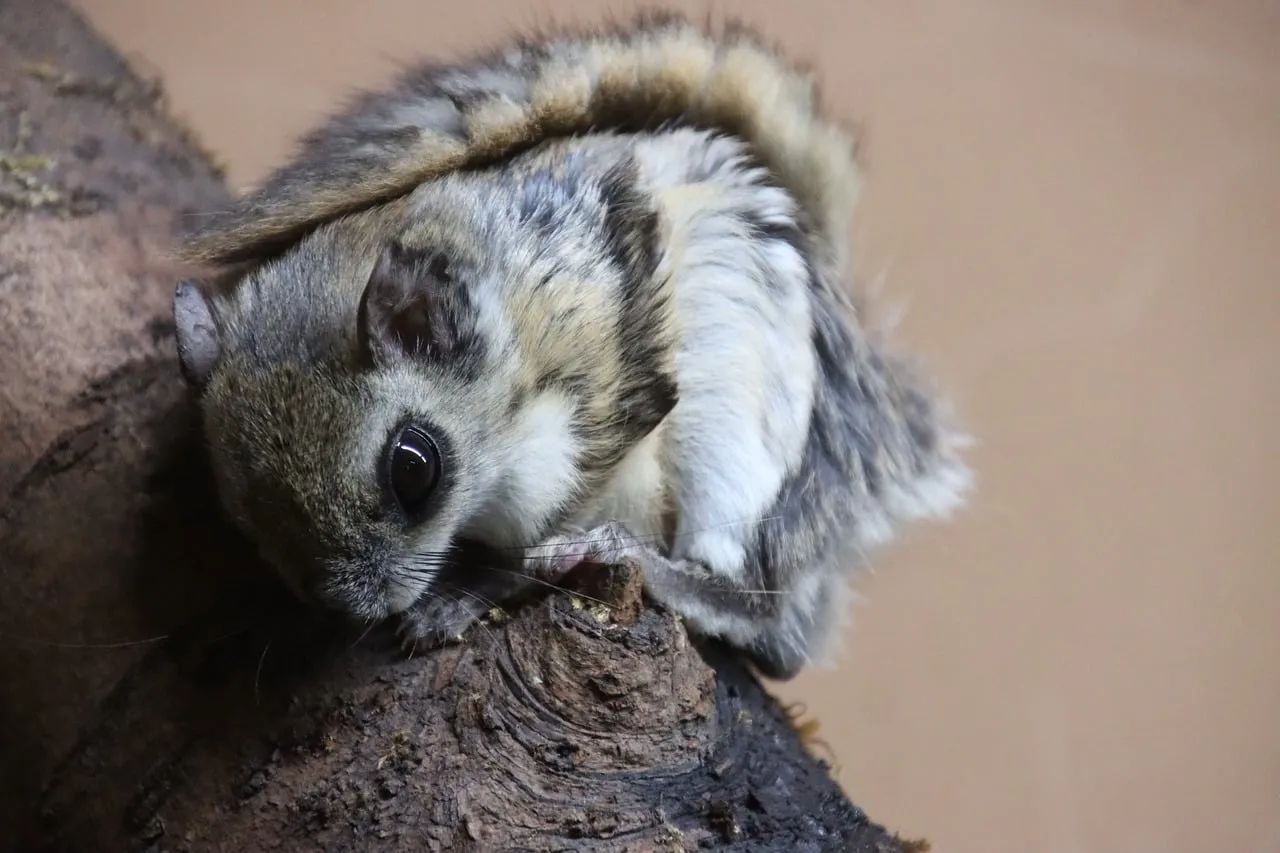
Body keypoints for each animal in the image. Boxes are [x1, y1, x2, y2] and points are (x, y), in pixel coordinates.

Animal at [171, 11, 972, 681]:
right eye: (241, 507)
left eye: (414, 468)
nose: (357, 607)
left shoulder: (607, 408)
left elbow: (540, 540)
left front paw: (468, 595)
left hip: (744, 436)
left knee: (771, 621)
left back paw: (640, 563)